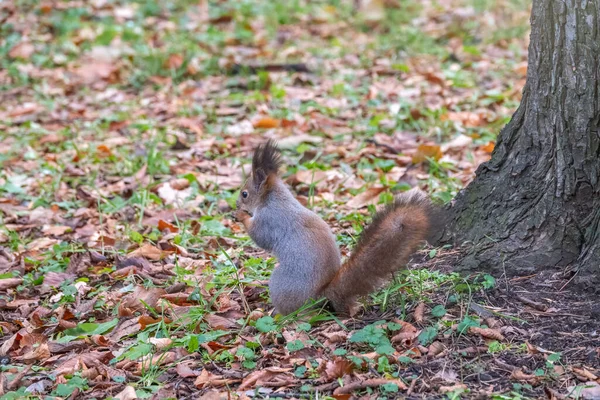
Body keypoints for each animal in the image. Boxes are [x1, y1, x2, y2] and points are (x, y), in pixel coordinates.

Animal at [233, 141, 432, 316]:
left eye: (245, 194)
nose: (236, 204)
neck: (273, 198)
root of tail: (319, 296)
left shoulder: (270, 219)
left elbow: (260, 236)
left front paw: (240, 215)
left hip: (280, 284)